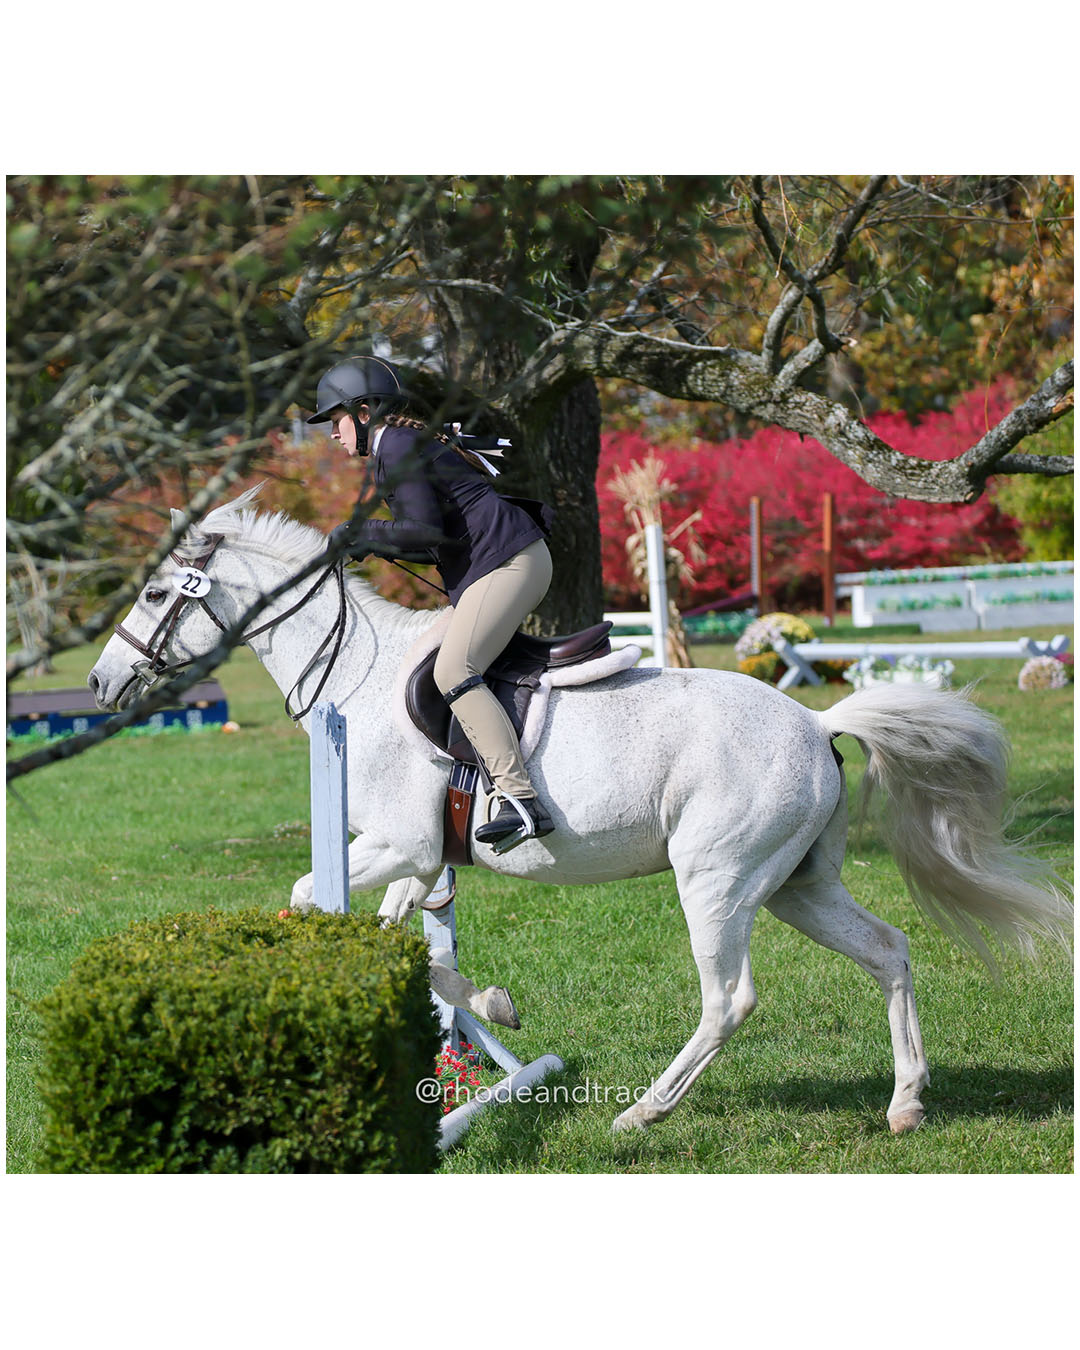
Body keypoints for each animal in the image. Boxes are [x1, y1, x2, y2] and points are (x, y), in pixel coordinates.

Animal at [87, 488, 1072, 1135]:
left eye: (154, 594)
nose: (100, 682)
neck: (354, 676)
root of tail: (816, 720)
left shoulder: (395, 843)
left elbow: (308, 895)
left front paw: (486, 1007)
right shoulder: (416, 858)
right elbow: (406, 935)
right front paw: (487, 1002)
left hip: (716, 880)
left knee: (730, 999)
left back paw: (643, 1113)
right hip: (798, 885)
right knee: (889, 952)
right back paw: (905, 1102)